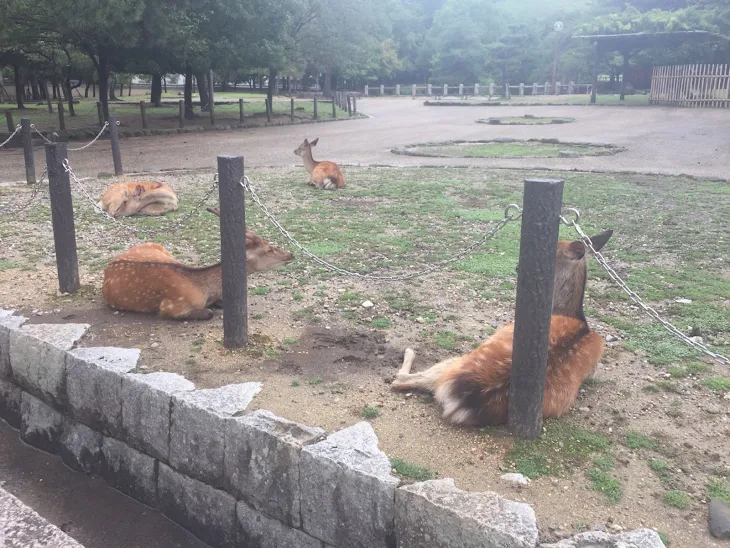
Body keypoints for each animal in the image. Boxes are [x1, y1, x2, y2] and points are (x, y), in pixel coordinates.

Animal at [390, 229, 612, 426]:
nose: (518, 266)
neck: (571, 315)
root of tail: (470, 398)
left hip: (455, 362)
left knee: (400, 380)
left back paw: (409, 351)